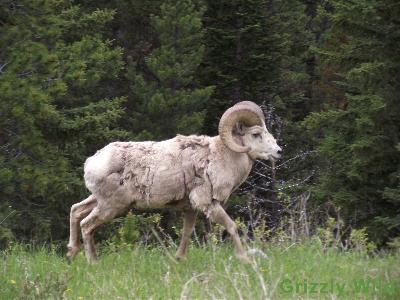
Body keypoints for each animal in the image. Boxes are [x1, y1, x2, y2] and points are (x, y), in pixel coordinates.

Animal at [67, 101, 282, 262]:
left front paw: (180, 259)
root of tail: (92, 162)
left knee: (75, 211)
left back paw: (72, 252)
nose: (278, 151)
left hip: (98, 200)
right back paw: (93, 262)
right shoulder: (209, 204)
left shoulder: (191, 209)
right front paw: (244, 259)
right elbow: (231, 227)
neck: (221, 157)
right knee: (87, 225)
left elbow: (186, 233)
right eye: (256, 134)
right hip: (111, 207)